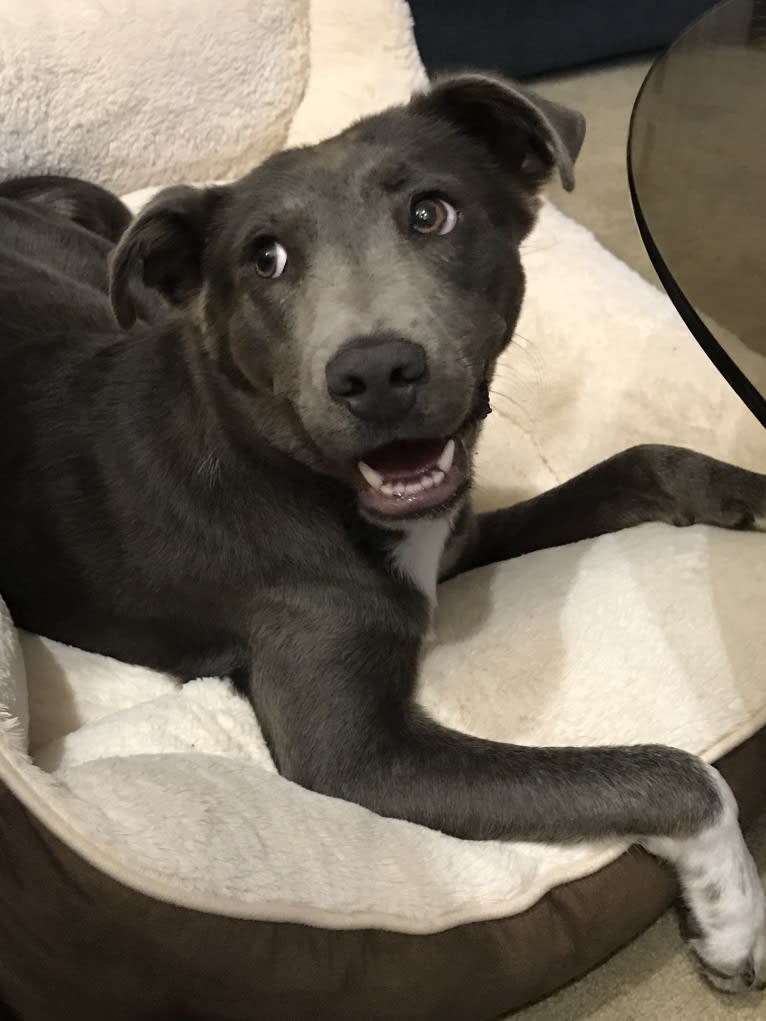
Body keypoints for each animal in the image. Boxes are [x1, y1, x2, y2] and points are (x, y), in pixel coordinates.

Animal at [1, 75, 766, 992]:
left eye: (431, 212)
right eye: (264, 258)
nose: (375, 374)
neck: (294, 472)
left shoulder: (457, 535)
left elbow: (643, 460)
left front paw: (750, 491)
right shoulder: (357, 754)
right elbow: (670, 771)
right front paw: (732, 913)